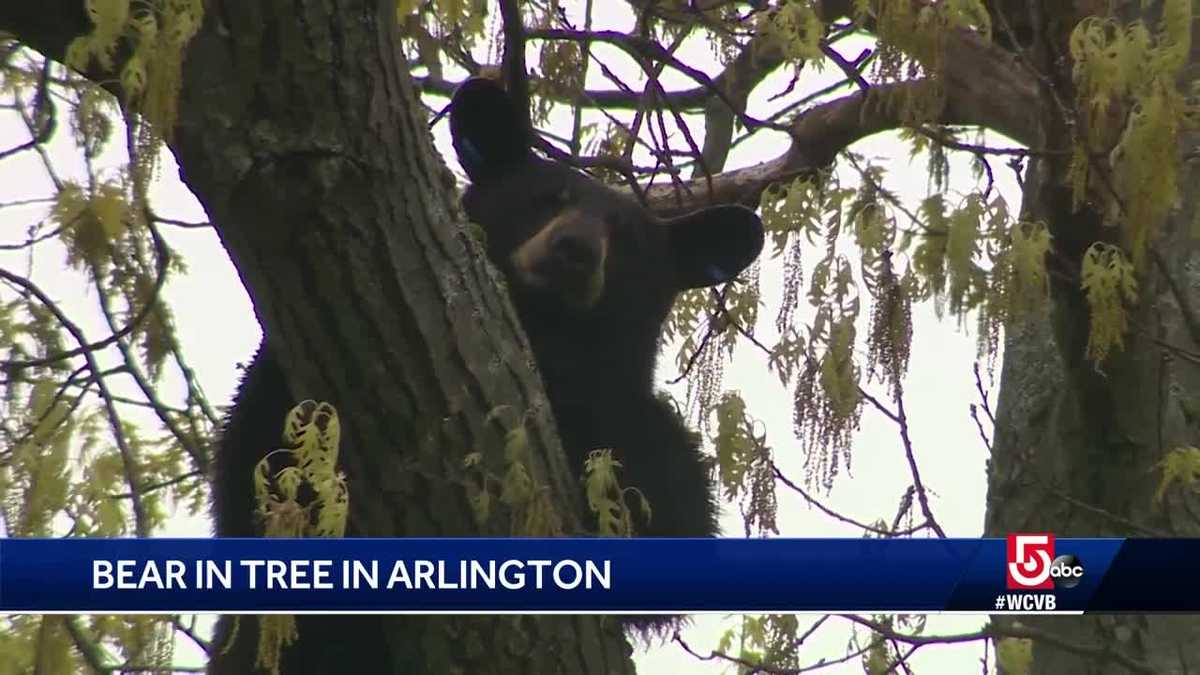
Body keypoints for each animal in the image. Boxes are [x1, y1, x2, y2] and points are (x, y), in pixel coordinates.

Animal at [208, 79, 758, 672]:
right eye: (547, 198)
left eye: (625, 237)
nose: (575, 250)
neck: (541, 332)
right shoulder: (277, 391)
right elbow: (269, 469)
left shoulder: (626, 408)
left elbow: (671, 508)